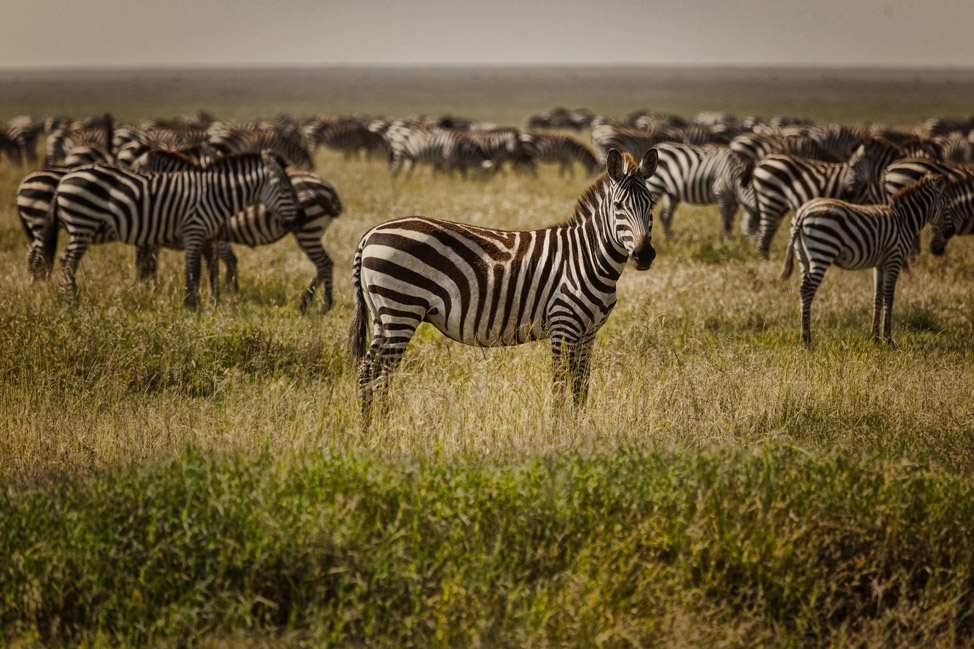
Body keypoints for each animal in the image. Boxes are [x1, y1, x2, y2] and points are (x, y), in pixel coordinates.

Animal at [30, 152, 302, 306]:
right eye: (285, 189)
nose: (300, 217)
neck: (217, 195)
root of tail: (64, 180)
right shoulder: (194, 230)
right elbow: (193, 271)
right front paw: (191, 304)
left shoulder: (209, 237)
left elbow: (211, 270)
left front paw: (213, 303)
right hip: (82, 223)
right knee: (67, 260)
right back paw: (72, 298)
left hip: (81, 225)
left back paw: (70, 296)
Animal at [346, 149, 660, 428]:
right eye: (618, 206)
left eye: (652, 205)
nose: (644, 255)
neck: (588, 257)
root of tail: (370, 234)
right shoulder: (564, 325)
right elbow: (560, 384)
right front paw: (559, 431)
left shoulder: (589, 332)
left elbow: (581, 385)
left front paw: (580, 428)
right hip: (401, 309)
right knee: (381, 373)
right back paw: (382, 428)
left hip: (382, 314)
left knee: (368, 370)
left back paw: (369, 429)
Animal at [780, 172, 948, 344]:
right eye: (947, 204)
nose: (950, 231)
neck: (904, 221)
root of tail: (802, 213)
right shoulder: (894, 259)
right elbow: (889, 297)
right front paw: (888, 339)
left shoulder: (879, 265)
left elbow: (877, 296)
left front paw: (875, 336)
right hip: (823, 250)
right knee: (808, 290)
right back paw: (807, 339)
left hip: (803, 255)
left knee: (802, 289)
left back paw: (804, 336)